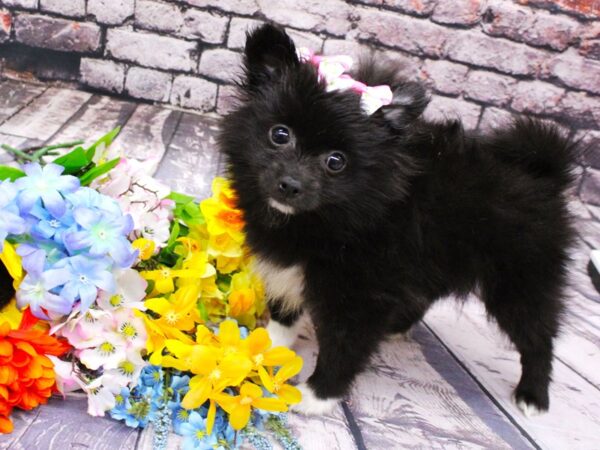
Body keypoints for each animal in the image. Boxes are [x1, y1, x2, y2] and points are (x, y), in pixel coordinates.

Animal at [220, 23, 576, 418]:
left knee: (538, 336)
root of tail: (544, 173)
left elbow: (342, 348)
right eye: (279, 134)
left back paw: (533, 396)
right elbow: (284, 315)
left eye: (336, 162)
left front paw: (316, 397)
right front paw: (267, 349)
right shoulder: (288, 267)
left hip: (520, 279)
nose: (290, 184)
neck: (327, 220)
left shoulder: (361, 294)